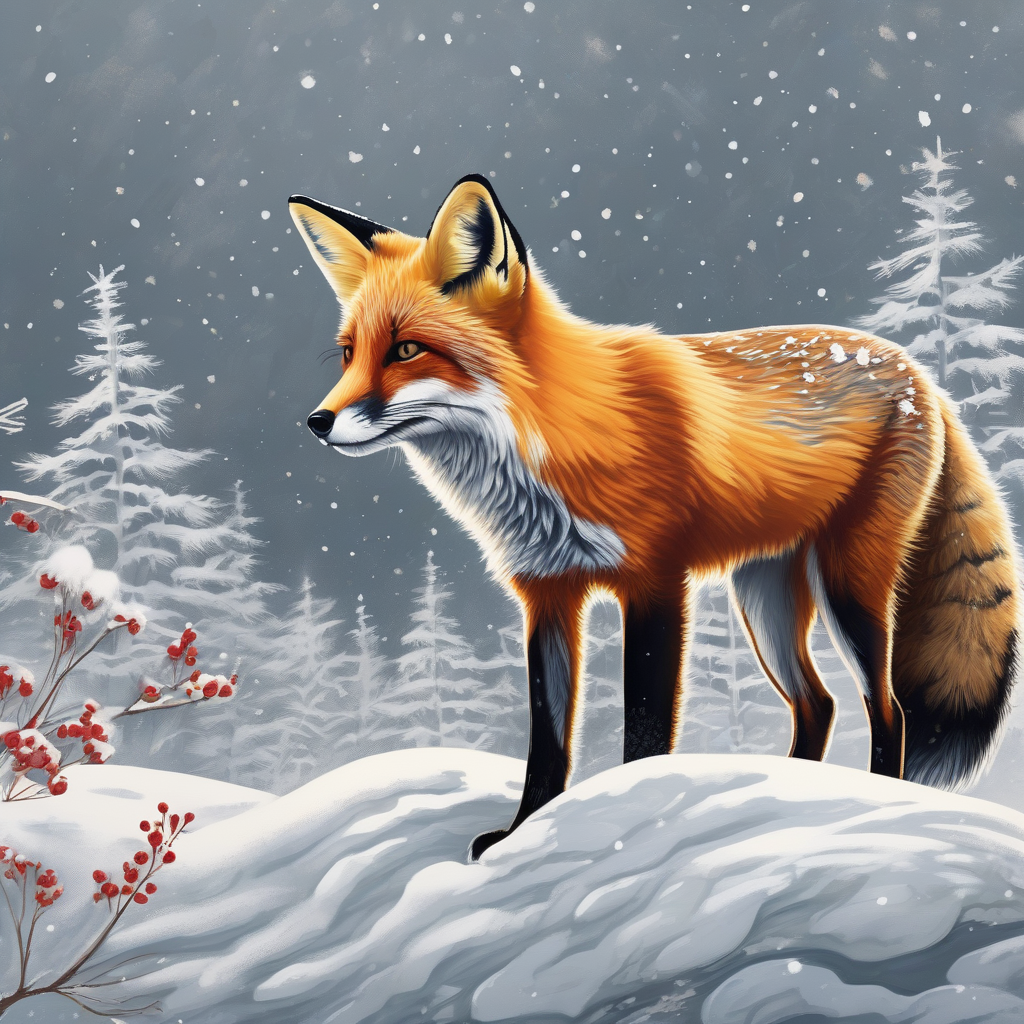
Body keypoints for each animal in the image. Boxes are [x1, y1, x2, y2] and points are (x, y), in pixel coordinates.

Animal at [289, 174, 1019, 859]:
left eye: (407, 351)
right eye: (350, 353)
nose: (317, 422)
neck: (553, 441)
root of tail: (917, 371)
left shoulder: (657, 585)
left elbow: (643, 730)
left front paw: (619, 836)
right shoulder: (547, 594)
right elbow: (548, 739)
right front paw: (523, 835)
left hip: (849, 588)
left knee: (887, 708)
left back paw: (874, 798)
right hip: (764, 600)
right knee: (820, 702)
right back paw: (788, 799)